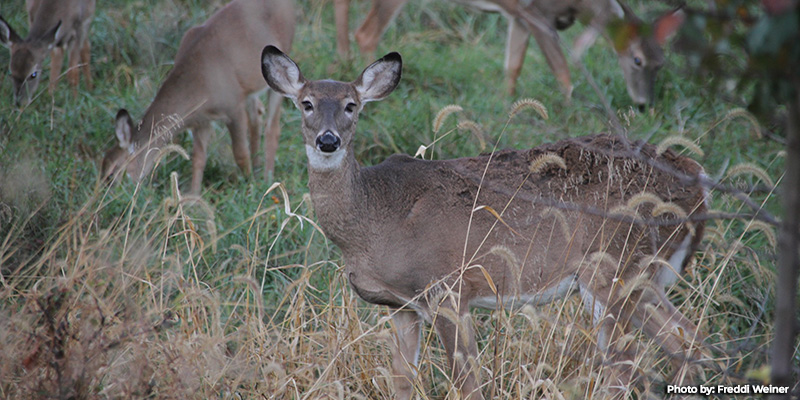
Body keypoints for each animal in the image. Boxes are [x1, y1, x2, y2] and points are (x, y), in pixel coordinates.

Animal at [102, 0, 296, 195]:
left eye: (111, 175)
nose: (110, 198)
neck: (199, 82)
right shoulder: (202, 121)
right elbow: (198, 159)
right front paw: (192, 196)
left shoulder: (233, 106)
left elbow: (240, 153)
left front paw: (250, 186)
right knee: (257, 116)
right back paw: (258, 170)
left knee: (272, 127)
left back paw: (267, 178)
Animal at [262, 46, 712, 400]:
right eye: (306, 103)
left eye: (351, 105)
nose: (328, 140)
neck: (375, 216)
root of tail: (698, 179)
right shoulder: (401, 306)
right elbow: (402, 382)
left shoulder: (447, 289)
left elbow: (468, 384)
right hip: (644, 275)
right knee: (690, 338)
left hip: (612, 268)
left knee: (625, 366)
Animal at [332, 0, 680, 106]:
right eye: (637, 60)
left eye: (662, 62)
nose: (645, 104)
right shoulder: (536, 15)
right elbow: (563, 72)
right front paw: (570, 112)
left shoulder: (518, 18)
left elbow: (513, 65)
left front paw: (506, 103)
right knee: (367, 32)